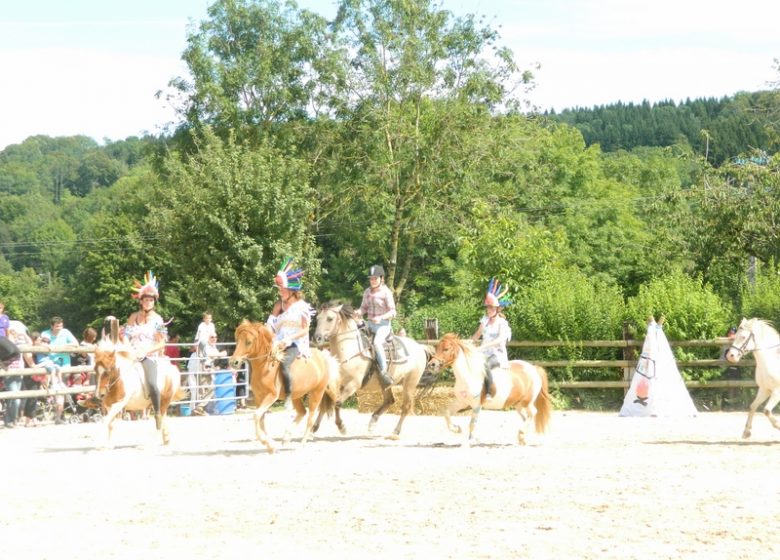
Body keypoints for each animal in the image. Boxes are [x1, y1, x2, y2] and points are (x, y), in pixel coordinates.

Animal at [227, 318, 340, 452]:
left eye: (248, 342)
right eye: (237, 340)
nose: (234, 362)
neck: (266, 367)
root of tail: (323, 356)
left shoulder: (271, 396)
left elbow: (256, 416)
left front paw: (268, 443)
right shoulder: (259, 397)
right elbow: (261, 419)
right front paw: (270, 445)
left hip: (317, 392)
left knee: (312, 417)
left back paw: (302, 443)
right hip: (296, 396)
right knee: (302, 412)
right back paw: (286, 438)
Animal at [310, 300, 432, 440]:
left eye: (330, 318)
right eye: (317, 318)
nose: (316, 338)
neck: (347, 351)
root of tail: (420, 347)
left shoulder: (353, 385)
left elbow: (337, 403)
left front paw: (341, 427)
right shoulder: (333, 384)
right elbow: (325, 404)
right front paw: (313, 428)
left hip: (410, 383)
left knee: (405, 406)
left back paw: (395, 432)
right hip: (385, 384)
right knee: (389, 400)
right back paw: (373, 422)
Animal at [426, 332, 556, 446]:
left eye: (446, 349)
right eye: (437, 348)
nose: (432, 365)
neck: (467, 375)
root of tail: (534, 368)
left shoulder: (476, 405)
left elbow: (472, 424)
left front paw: (469, 441)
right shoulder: (462, 402)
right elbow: (447, 414)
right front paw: (457, 429)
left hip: (527, 401)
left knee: (533, 412)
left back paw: (522, 434)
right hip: (518, 404)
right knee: (526, 417)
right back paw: (522, 438)